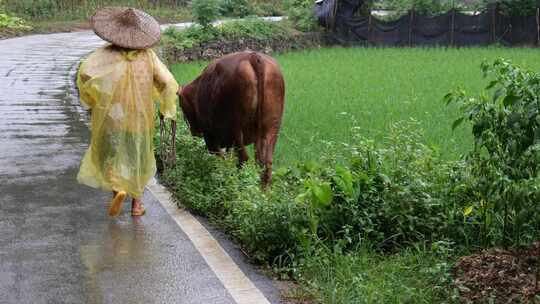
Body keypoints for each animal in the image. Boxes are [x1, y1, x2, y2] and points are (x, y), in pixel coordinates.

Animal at [178, 52, 286, 185]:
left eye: (181, 106)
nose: (194, 132)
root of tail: (252, 56)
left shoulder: (210, 136)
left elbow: (219, 158)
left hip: (236, 129)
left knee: (243, 158)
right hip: (271, 129)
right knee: (265, 163)